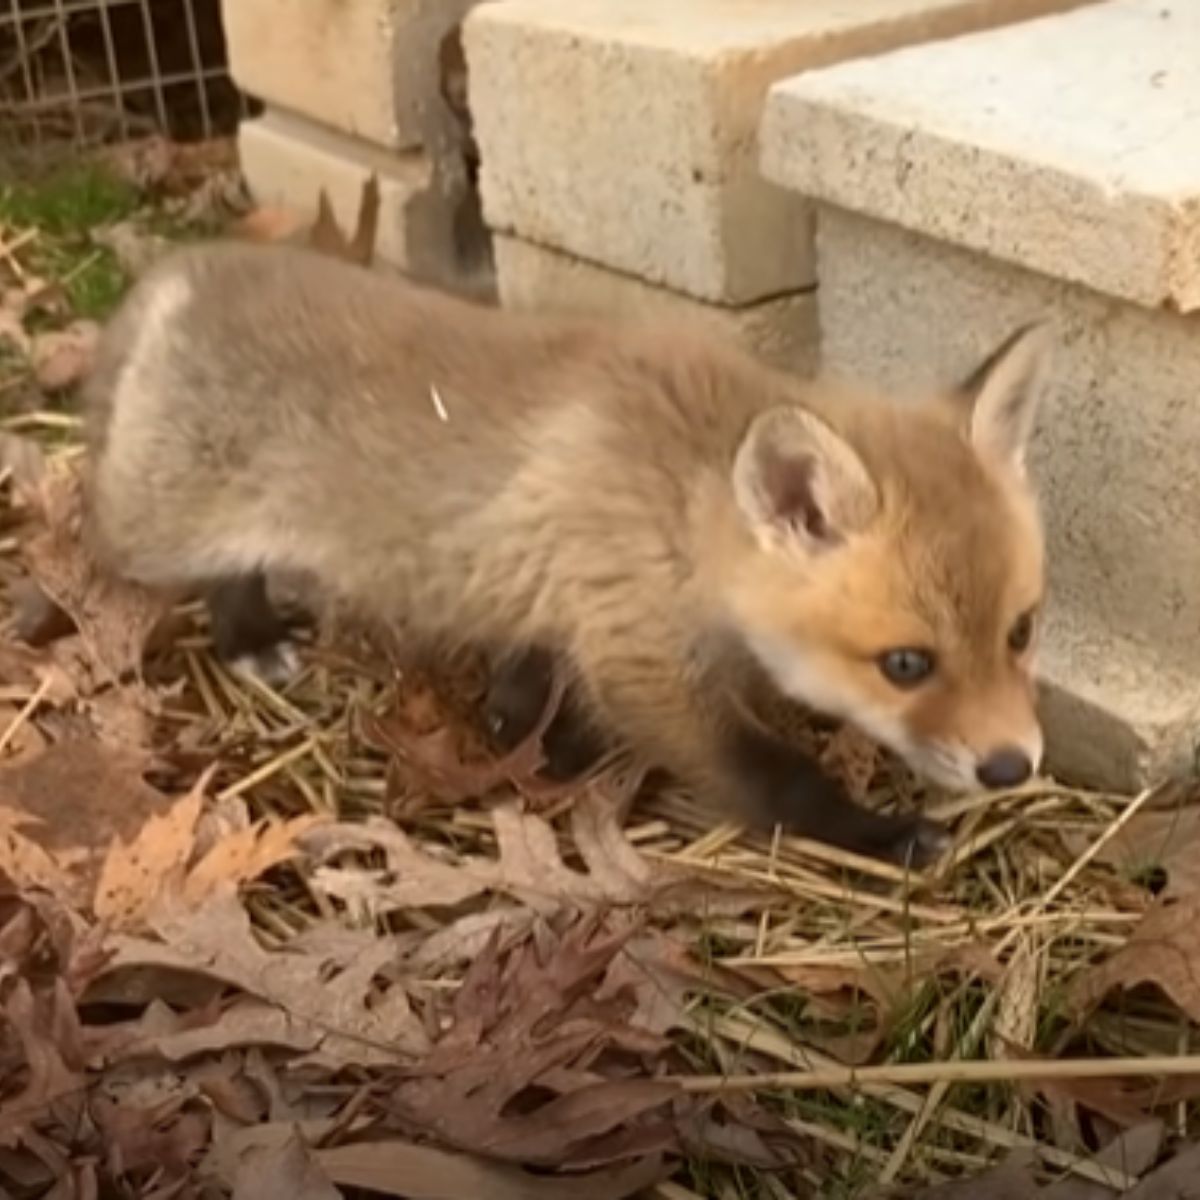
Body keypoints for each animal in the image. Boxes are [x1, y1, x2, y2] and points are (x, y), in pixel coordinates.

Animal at [84, 241, 1051, 864]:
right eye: (906, 664)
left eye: (1021, 632)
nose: (1013, 767)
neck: (678, 505)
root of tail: (185, 269)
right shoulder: (643, 663)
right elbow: (776, 777)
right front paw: (878, 834)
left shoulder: (570, 606)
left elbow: (532, 684)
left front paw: (532, 740)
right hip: (147, 526)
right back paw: (241, 636)